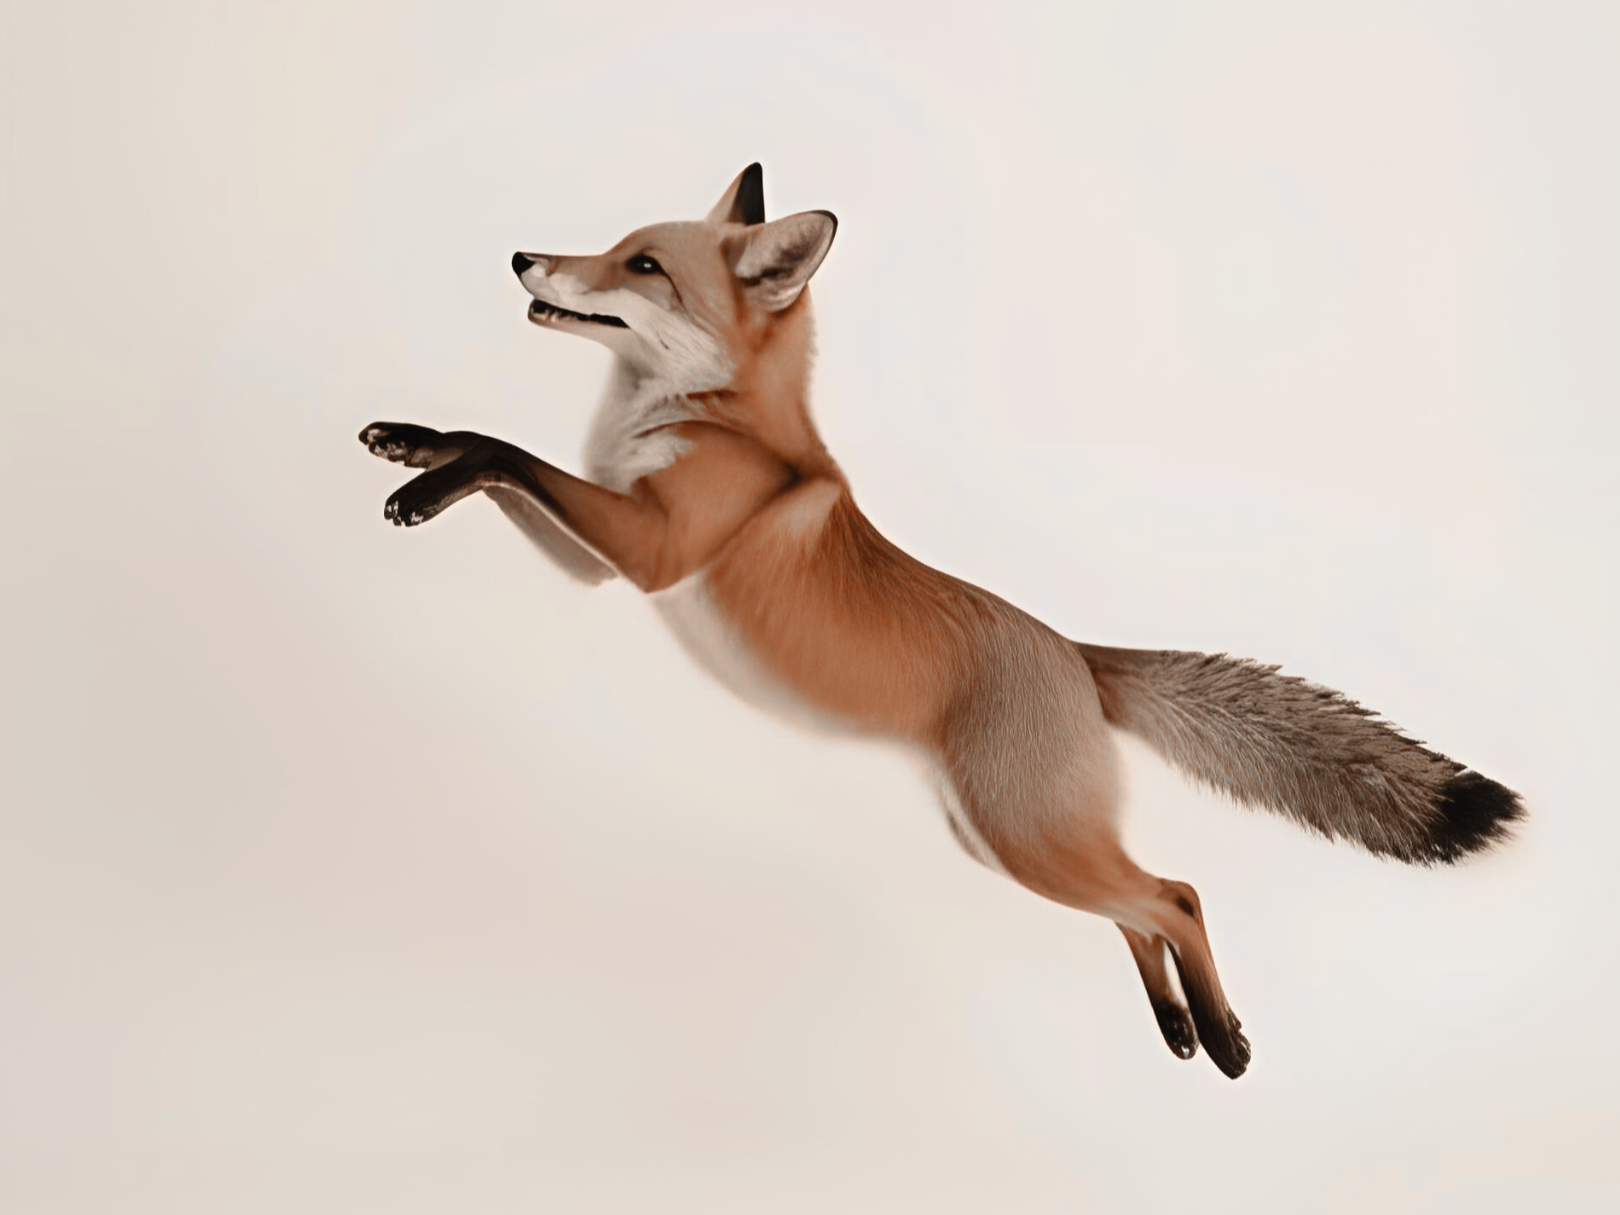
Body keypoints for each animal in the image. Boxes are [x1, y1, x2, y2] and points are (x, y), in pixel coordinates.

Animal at [358, 163, 1523, 1078]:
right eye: (611, 249)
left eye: (643, 265)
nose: (521, 256)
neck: (706, 421)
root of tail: (1077, 650)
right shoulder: (597, 561)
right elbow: (490, 449)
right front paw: (412, 444)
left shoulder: (652, 552)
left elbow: (510, 451)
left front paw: (423, 483)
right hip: (1003, 842)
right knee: (1141, 906)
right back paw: (1179, 1027)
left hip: (1023, 838)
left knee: (1177, 894)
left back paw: (1225, 1037)